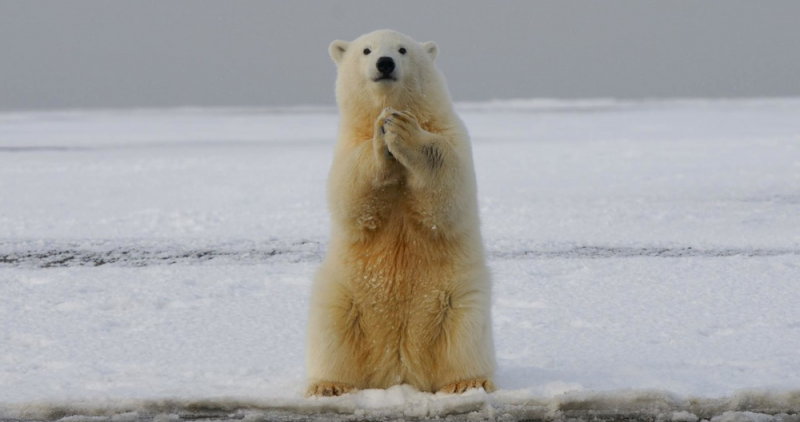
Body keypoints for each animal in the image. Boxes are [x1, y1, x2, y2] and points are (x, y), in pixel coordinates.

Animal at [306, 29, 494, 396]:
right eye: (366, 50)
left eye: (403, 49)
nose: (385, 62)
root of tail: (399, 370)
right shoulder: (347, 144)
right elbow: (350, 193)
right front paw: (383, 135)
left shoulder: (451, 133)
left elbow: (449, 188)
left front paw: (403, 130)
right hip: (345, 296)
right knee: (332, 331)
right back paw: (329, 385)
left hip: (456, 296)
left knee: (465, 335)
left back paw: (466, 382)